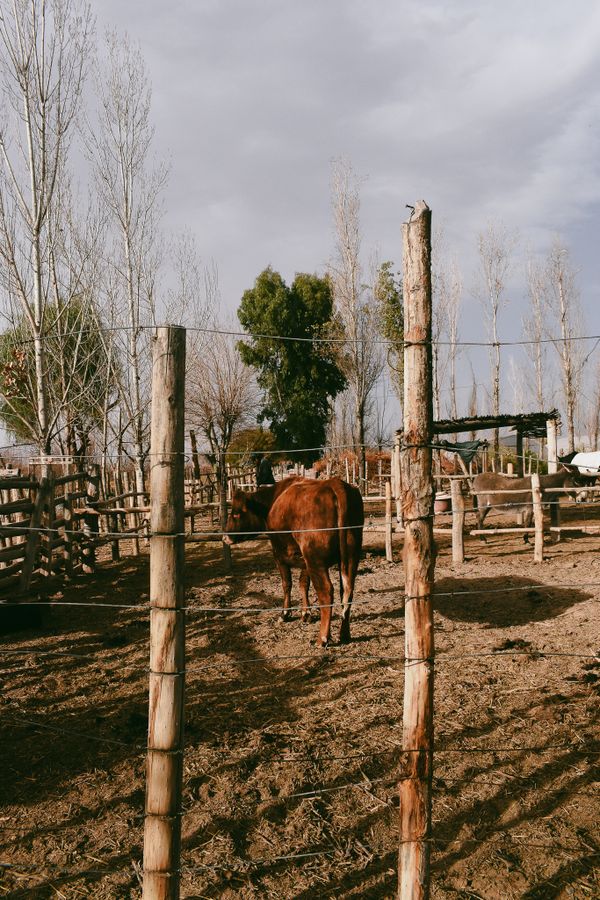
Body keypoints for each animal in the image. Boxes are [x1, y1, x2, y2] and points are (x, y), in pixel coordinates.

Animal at [224, 476, 364, 647]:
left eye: (236, 514)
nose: (225, 537)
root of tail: (335, 483)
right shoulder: (304, 561)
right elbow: (303, 583)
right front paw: (305, 613)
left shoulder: (279, 554)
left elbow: (287, 584)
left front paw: (285, 613)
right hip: (350, 557)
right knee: (347, 591)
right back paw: (344, 634)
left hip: (316, 561)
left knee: (326, 592)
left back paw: (322, 638)